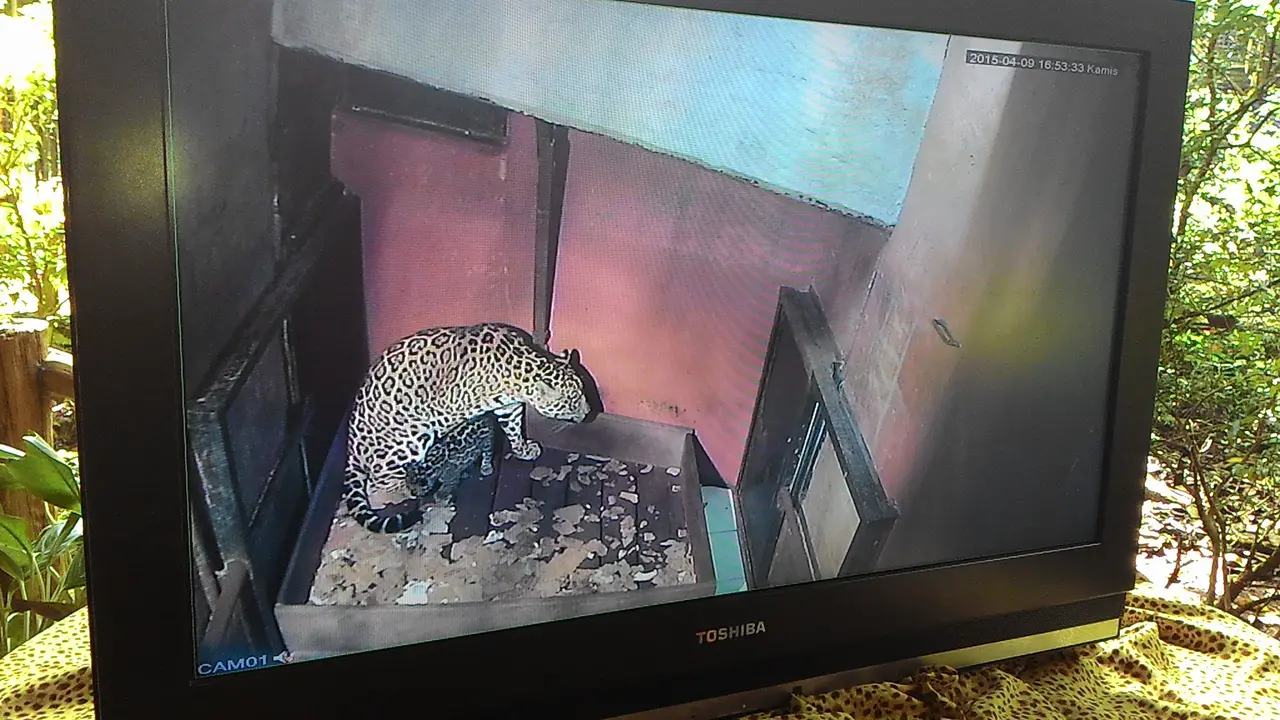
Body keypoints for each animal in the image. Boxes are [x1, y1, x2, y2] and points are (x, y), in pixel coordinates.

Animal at [342, 322, 592, 533]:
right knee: (376, 487)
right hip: (409, 441)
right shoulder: (446, 411)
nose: (589, 412)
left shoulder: (508, 406)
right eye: (573, 400)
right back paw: (407, 491)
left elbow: (513, 427)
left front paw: (523, 450)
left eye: (583, 391)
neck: (518, 370)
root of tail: (351, 447)